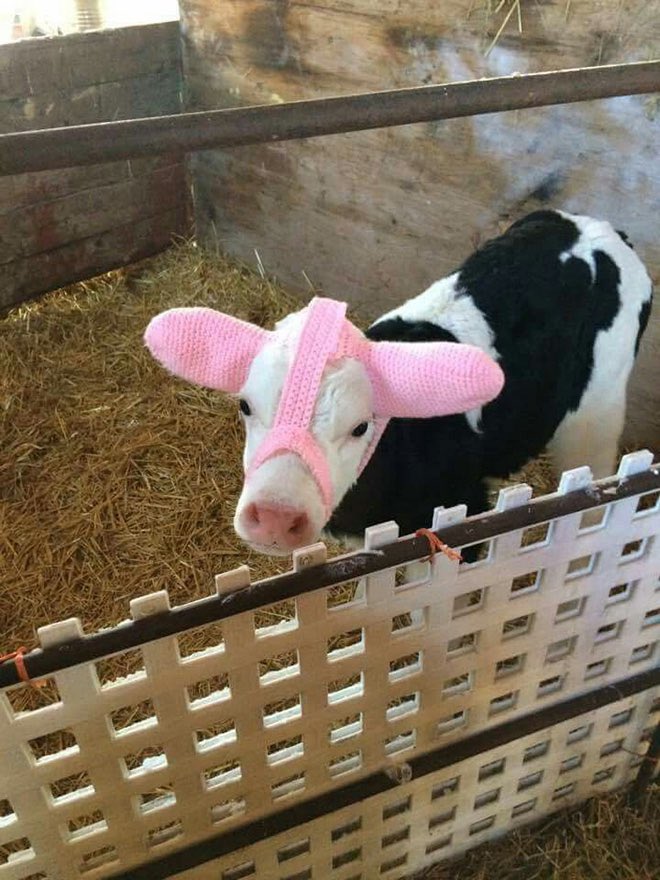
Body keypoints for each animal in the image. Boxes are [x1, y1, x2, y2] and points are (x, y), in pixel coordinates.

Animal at [144, 209, 653, 557]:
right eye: (245, 406)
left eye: (361, 426)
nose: (273, 516)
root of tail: (598, 229)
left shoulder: (465, 513)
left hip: (598, 408)